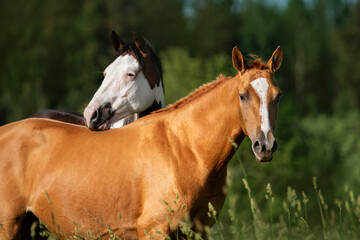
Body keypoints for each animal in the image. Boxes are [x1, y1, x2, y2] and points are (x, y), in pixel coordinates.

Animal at [0, 45, 282, 238]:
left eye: (277, 96)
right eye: (243, 95)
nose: (265, 146)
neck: (185, 148)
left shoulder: (197, 231)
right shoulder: (155, 230)